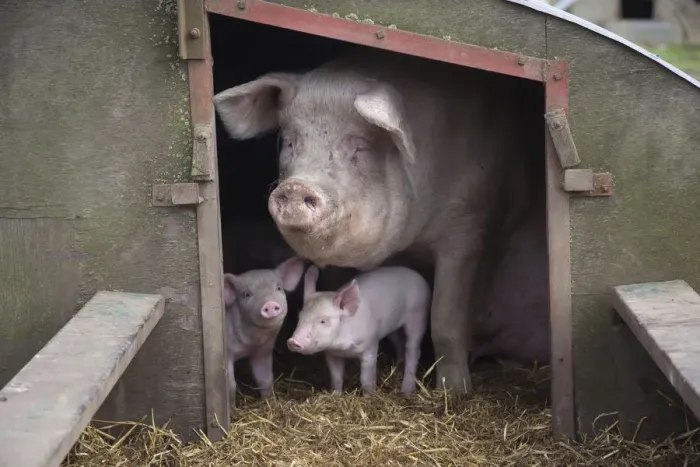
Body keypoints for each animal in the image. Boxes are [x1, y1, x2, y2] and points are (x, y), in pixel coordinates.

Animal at [224, 256, 305, 403]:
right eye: (246, 294)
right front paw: (231, 406)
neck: (250, 344)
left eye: (279, 288)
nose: (270, 304)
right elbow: (230, 385)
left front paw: (267, 400)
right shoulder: (226, 353)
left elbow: (265, 378)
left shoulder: (262, 351)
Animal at [287, 265, 430, 396]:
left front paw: (369, 397)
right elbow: (336, 377)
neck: (343, 348)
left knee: (413, 350)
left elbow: (366, 379)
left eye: (323, 321)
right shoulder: (332, 354)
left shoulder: (371, 346)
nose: (293, 341)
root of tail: (417, 275)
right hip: (394, 328)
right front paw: (336, 395)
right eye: (300, 317)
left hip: (418, 315)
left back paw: (406, 392)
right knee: (399, 343)